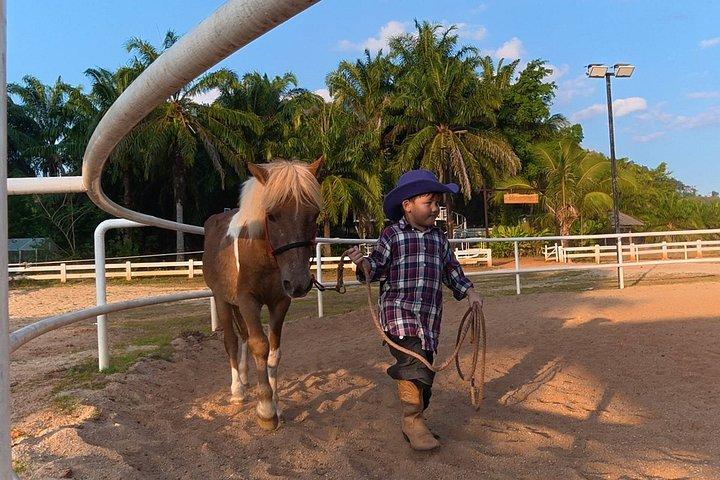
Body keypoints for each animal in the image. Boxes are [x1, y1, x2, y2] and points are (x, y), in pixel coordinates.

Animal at [202, 158, 323, 430]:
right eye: (271, 216)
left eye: (314, 215)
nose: (299, 283)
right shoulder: (248, 301)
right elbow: (260, 345)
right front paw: (266, 411)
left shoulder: (280, 302)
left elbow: (274, 352)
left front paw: (276, 405)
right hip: (222, 300)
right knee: (232, 341)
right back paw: (237, 390)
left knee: (244, 337)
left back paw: (246, 379)